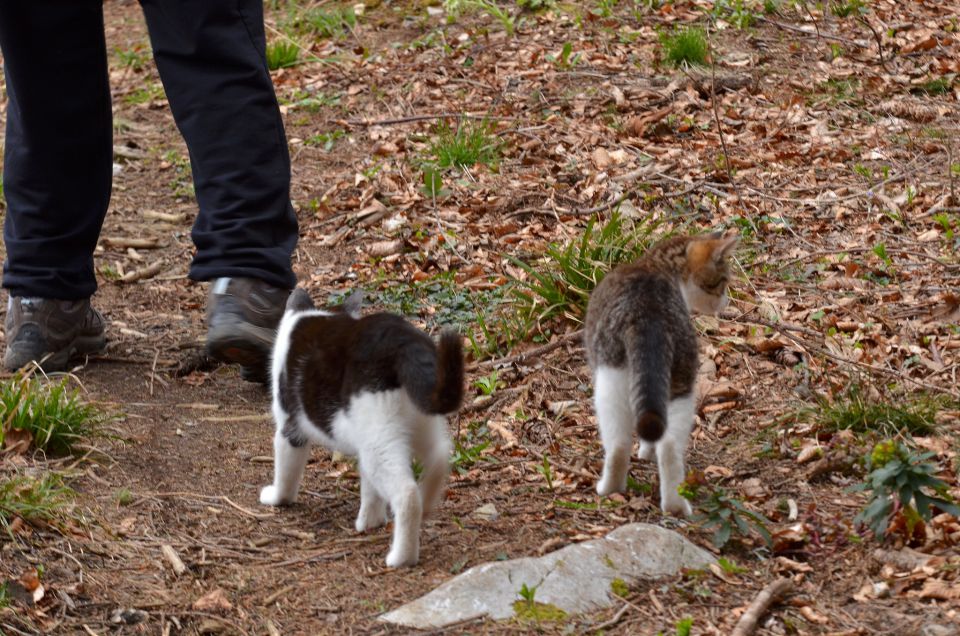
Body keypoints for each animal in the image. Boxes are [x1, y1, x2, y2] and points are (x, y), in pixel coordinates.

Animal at [258, 288, 462, 568]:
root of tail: (401, 338)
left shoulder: (290, 428)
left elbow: (285, 473)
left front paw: (278, 498)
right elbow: (369, 486)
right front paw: (371, 520)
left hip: (379, 438)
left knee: (407, 494)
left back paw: (401, 557)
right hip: (418, 419)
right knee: (440, 455)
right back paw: (428, 501)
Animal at [584, 234, 736, 516]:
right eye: (723, 281)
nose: (725, 302)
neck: (659, 264)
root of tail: (648, 315)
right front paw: (647, 452)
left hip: (609, 377)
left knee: (619, 443)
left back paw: (608, 488)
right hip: (679, 378)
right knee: (669, 443)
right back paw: (675, 505)